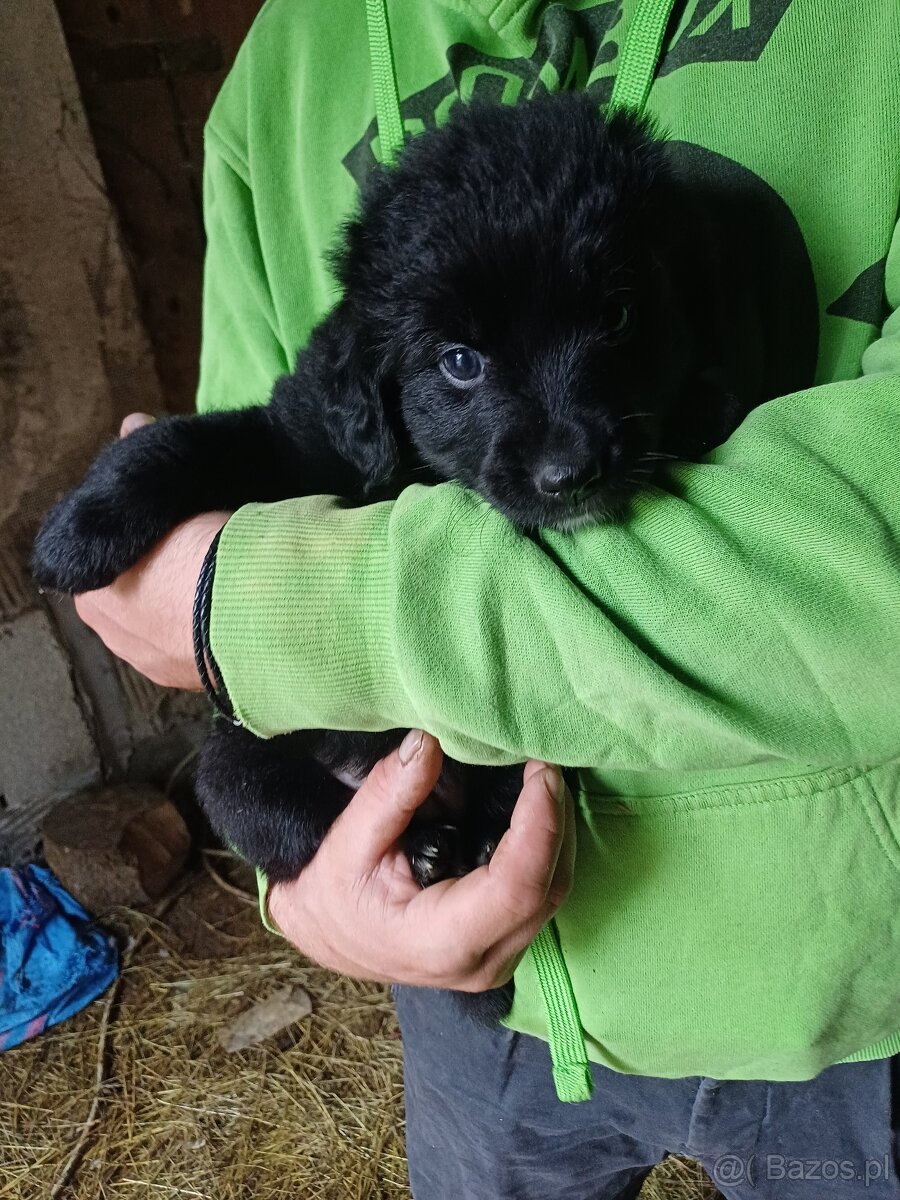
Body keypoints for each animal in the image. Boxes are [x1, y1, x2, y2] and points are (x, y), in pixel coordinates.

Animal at [33, 98, 768, 916]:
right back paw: (425, 844)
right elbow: (188, 439)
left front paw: (702, 406)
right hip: (234, 761)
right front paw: (75, 533)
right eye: (459, 362)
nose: (570, 475)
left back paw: (473, 837)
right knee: (284, 814)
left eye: (618, 318)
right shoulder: (296, 437)